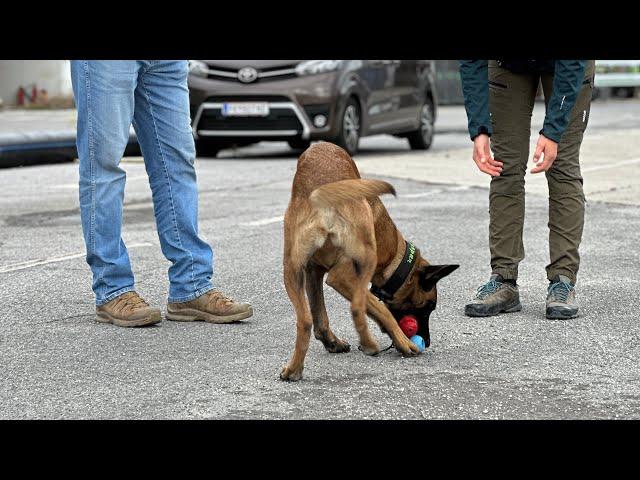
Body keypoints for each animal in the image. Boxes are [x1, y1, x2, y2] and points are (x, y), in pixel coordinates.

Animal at [282, 141, 458, 380]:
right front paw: (401, 341)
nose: (427, 341)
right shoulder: (345, 276)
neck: (393, 253)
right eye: (429, 306)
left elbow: (320, 317)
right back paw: (372, 344)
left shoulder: (312, 271)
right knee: (357, 308)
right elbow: (379, 309)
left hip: (291, 270)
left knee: (305, 321)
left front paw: (331, 341)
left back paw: (294, 369)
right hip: (354, 266)